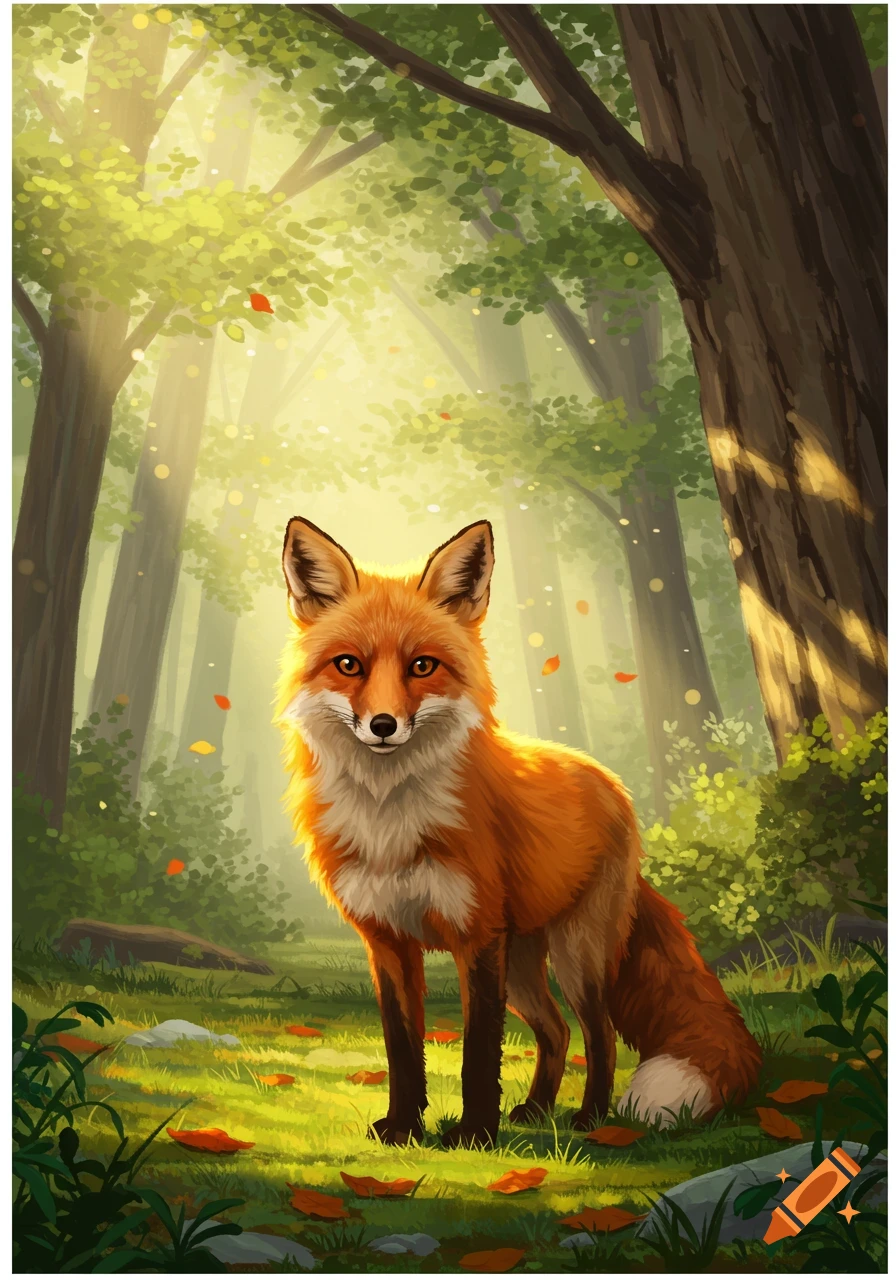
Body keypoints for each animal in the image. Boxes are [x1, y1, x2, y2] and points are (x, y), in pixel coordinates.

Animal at [276, 516, 761, 1148]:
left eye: (422, 666)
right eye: (349, 665)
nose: (383, 725)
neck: (391, 822)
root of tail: (609, 780)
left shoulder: (478, 936)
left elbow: (479, 1052)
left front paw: (475, 1135)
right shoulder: (388, 942)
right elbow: (402, 1049)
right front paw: (404, 1127)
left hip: (577, 956)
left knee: (599, 1033)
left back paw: (590, 1118)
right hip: (527, 964)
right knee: (556, 1031)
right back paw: (534, 1110)